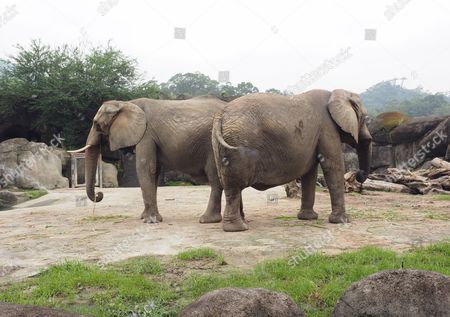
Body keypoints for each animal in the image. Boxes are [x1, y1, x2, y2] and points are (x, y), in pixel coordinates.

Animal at [76, 95, 229, 222]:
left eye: (97, 124)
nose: (99, 194)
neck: (126, 103)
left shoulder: (146, 134)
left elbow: (145, 167)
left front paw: (150, 221)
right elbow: (154, 171)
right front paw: (145, 217)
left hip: (213, 145)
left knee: (214, 178)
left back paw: (207, 220)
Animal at [213, 87, 370, 231]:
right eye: (366, 119)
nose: (358, 175)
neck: (335, 93)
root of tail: (221, 114)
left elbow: (310, 173)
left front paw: (308, 218)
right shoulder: (327, 128)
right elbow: (333, 166)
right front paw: (343, 220)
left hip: (219, 144)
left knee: (227, 182)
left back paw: (242, 222)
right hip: (237, 140)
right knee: (235, 185)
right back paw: (237, 228)